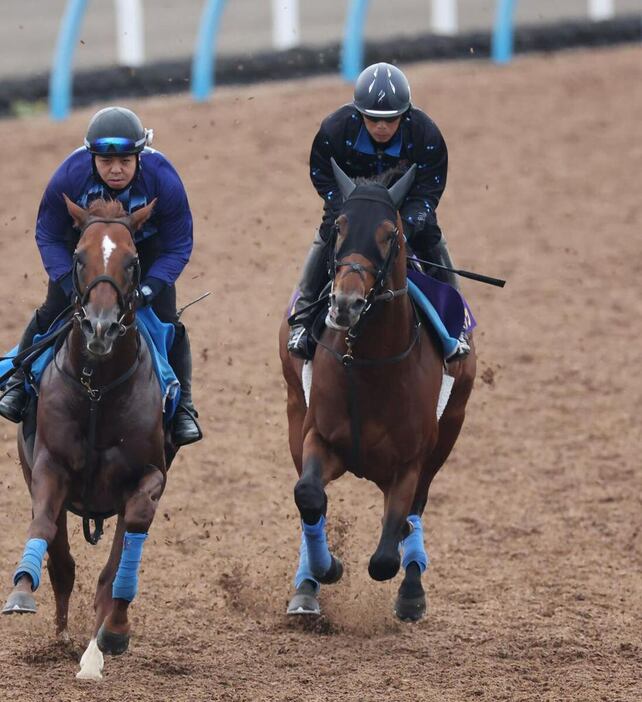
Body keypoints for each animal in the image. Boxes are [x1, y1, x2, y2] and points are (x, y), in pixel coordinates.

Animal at [1, 195, 175, 680]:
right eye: (79, 257)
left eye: (133, 262)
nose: (100, 327)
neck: (98, 390)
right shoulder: (49, 466)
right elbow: (45, 527)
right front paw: (21, 591)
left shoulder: (149, 475)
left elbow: (129, 539)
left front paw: (112, 633)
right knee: (63, 564)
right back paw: (62, 635)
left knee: (108, 569)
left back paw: (94, 646)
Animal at [278, 164, 476, 620]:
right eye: (339, 227)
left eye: (391, 234)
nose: (345, 303)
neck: (366, 363)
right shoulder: (319, 436)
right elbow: (309, 496)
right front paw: (326, 568)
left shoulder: (411, 461)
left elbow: (386, 555)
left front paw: (406, 582)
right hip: (295, 410)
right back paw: (307, 587)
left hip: (450, 428)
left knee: (415, 513)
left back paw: (412, 589)